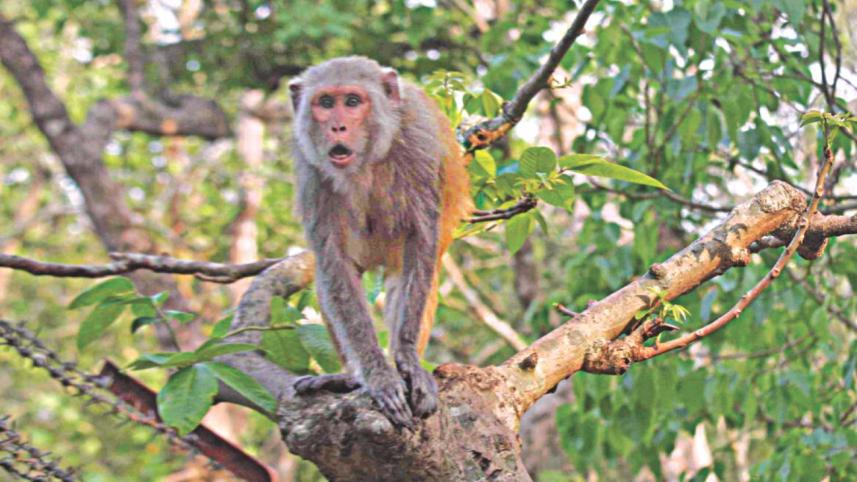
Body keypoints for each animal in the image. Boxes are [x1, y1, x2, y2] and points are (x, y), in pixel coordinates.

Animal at [287, 57, 472, 426]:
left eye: (352, 101)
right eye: (325, 103)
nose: (338, 127)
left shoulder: (419, 144)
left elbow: (420, 242)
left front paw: (407, 359)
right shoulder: (310, 168)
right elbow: (335, 263)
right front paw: (378, 375)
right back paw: (348, 378)